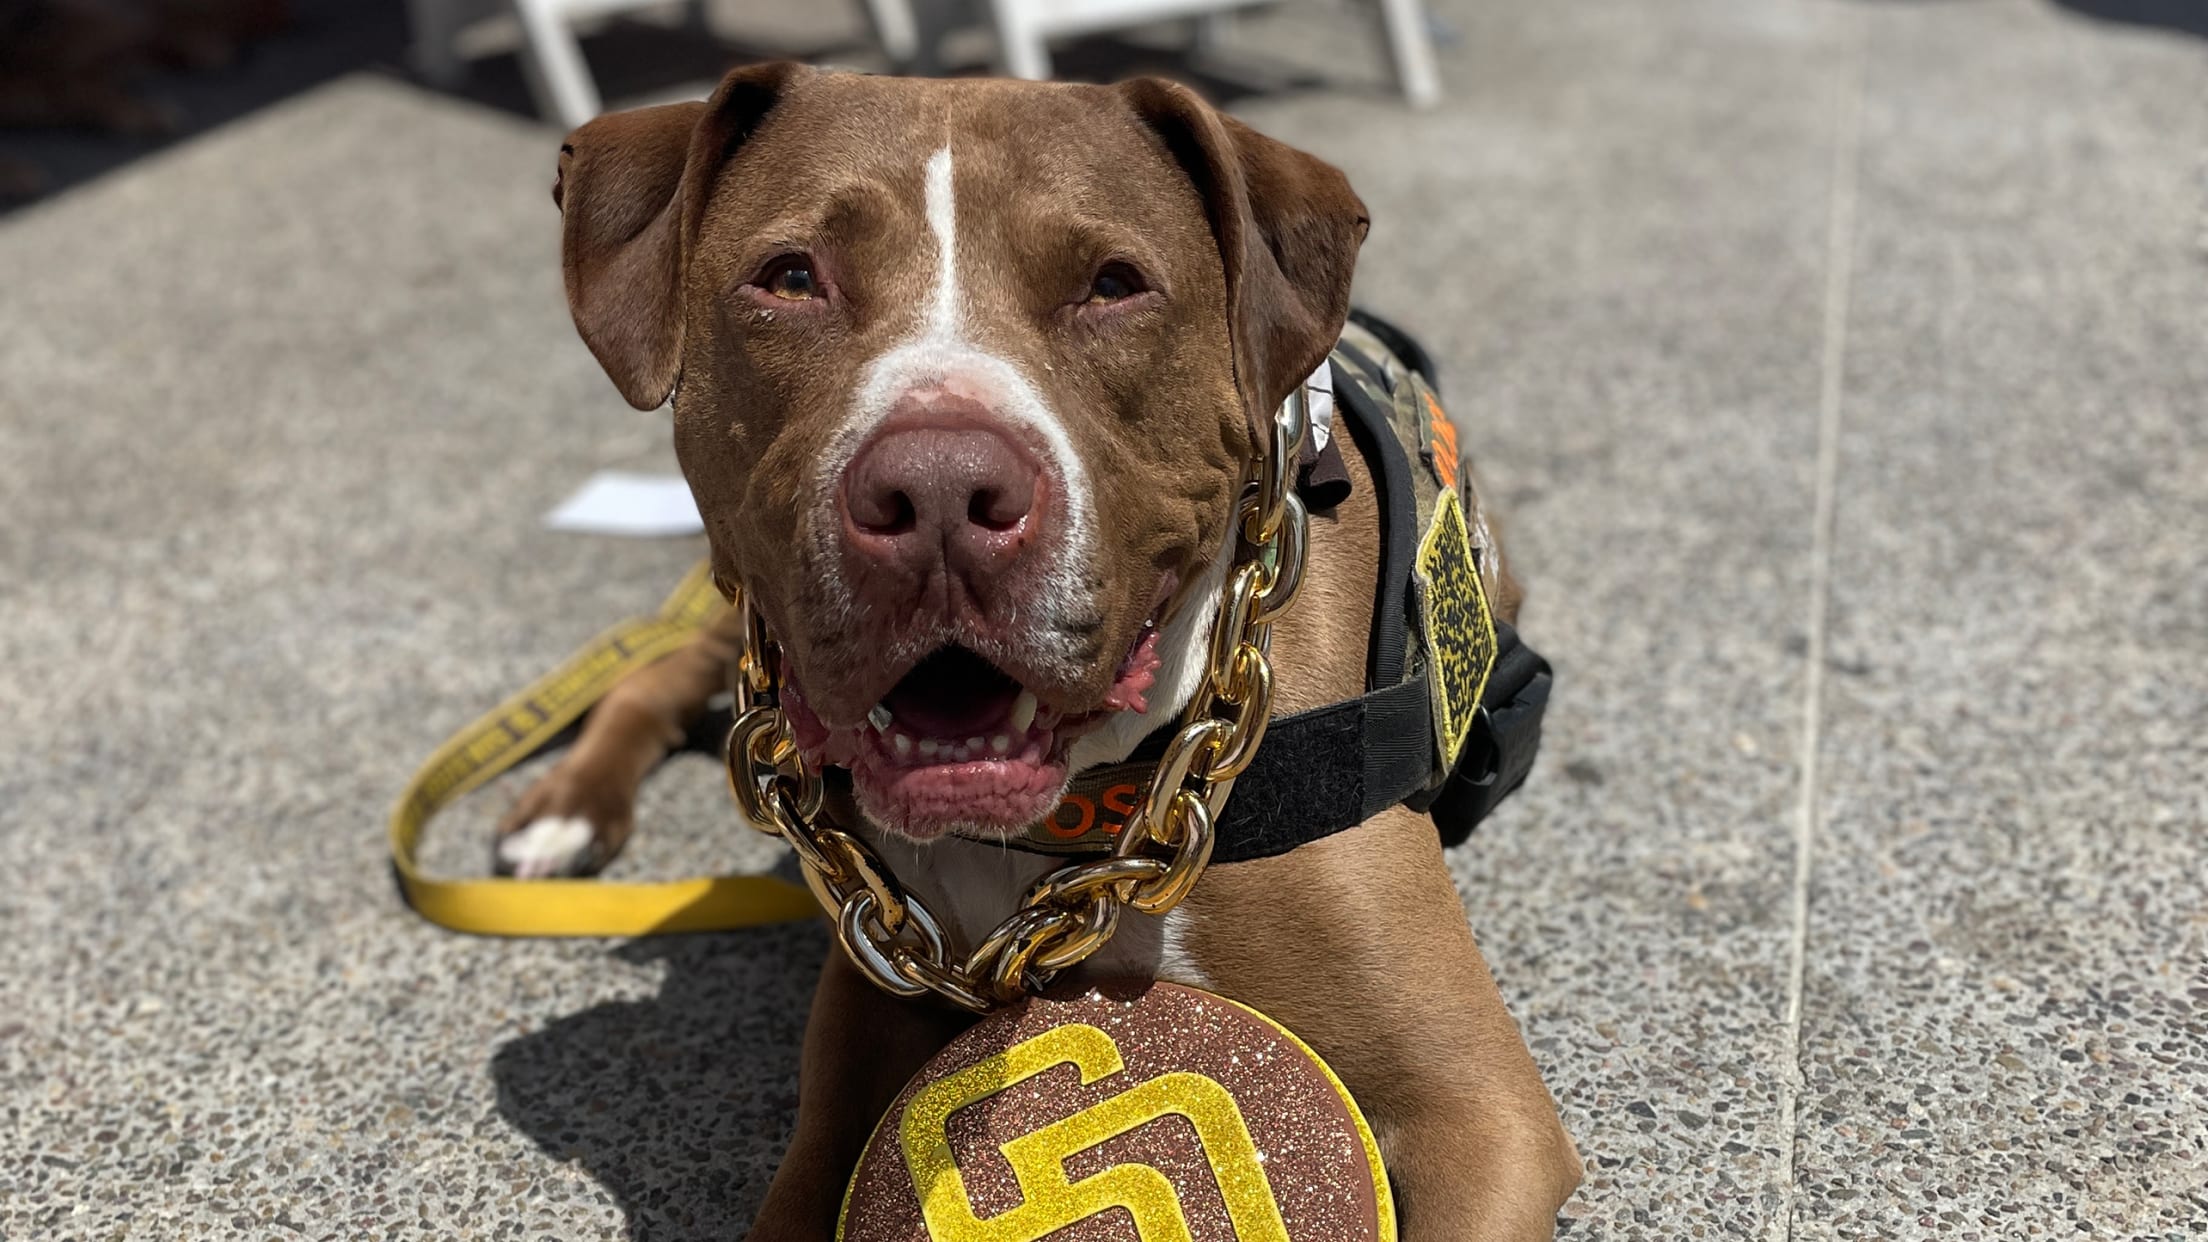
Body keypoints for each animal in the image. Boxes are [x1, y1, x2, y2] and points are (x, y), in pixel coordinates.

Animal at [512, 62, 1589, 1228]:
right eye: (790, 277)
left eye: (1114, 284)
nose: (938, 492)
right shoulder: (873, 975)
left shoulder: (1473, 1109)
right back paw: (566, 811)